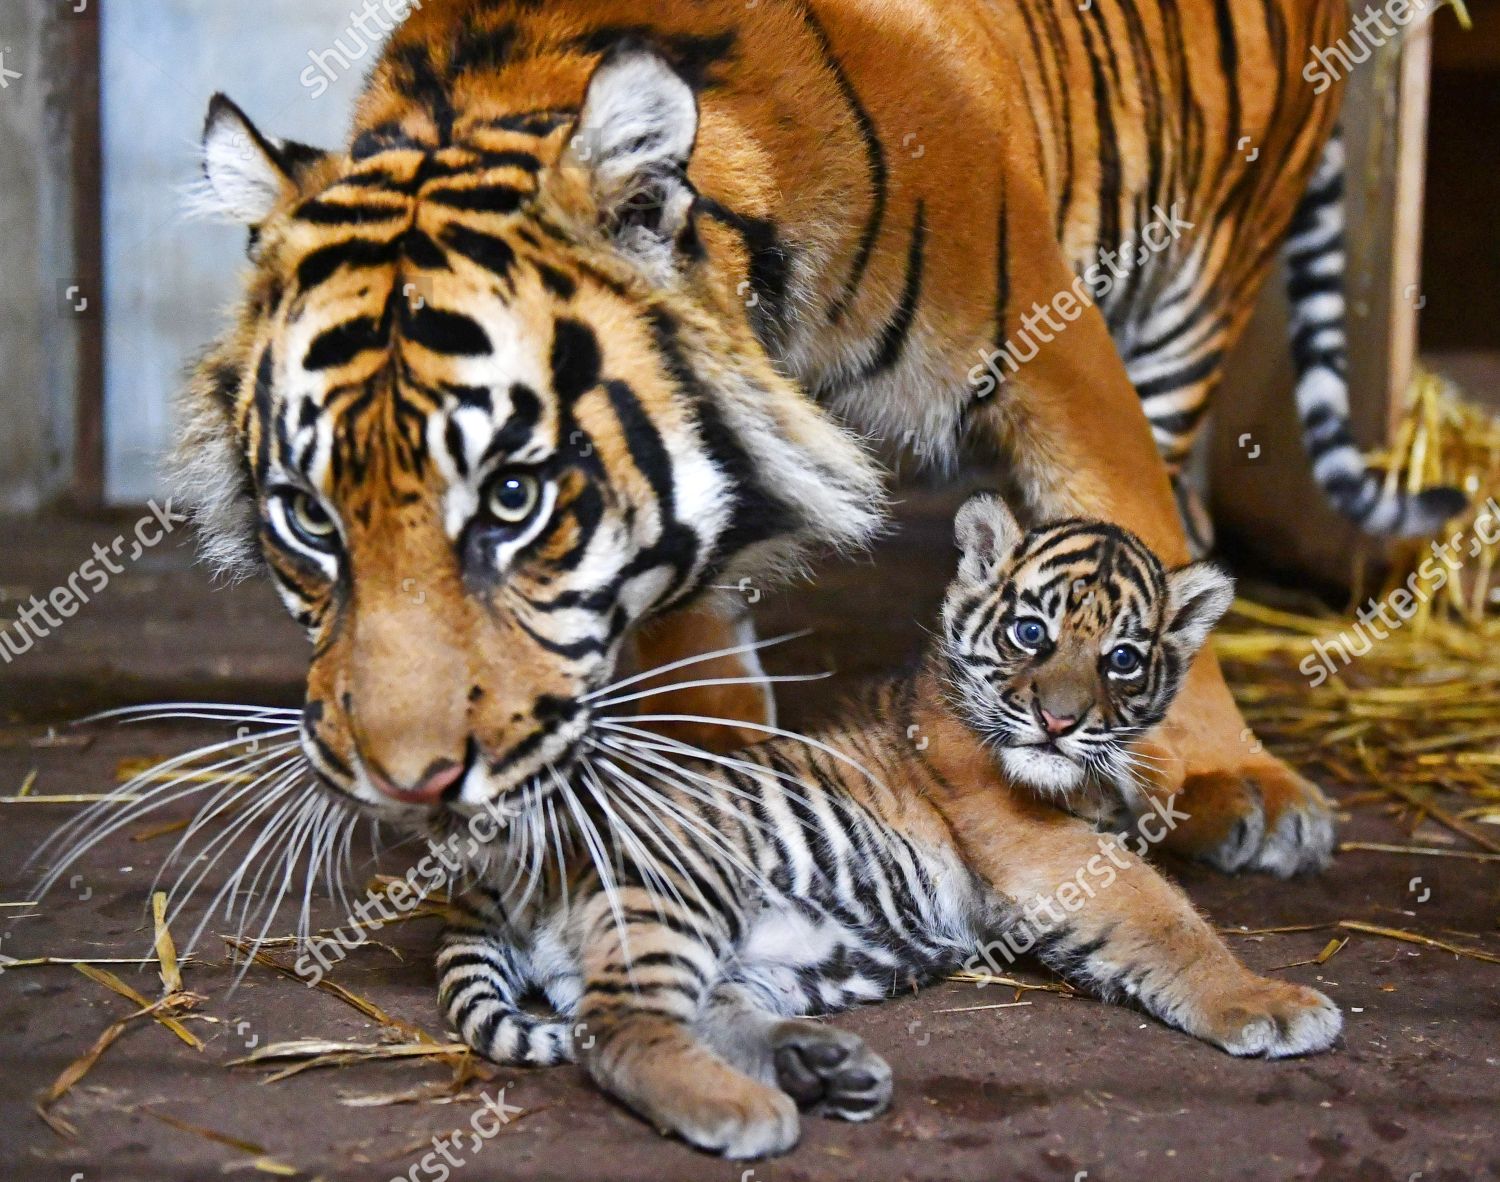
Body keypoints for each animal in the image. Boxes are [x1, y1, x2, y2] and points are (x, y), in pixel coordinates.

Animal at [172, 0, 1440, 876]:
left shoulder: (1053, 343)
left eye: (513, 498)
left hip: (1204, 267)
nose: (407, 783)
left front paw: (1233, 779)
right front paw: (717, 769)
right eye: (307, 517)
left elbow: (1136, 532)